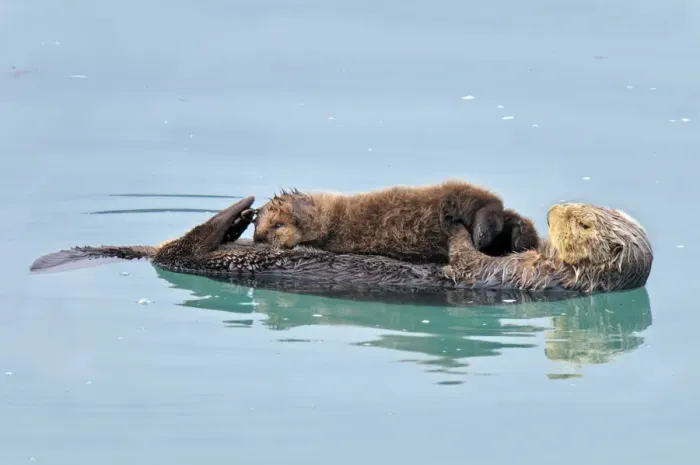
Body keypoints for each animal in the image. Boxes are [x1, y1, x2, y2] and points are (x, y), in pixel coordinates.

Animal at [252, 180, 539, 263]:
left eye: (278, 225)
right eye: (258, 226)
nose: (258, 237)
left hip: (453, 195)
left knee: (488, 203)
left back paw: (482, 234)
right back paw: (516, 236)